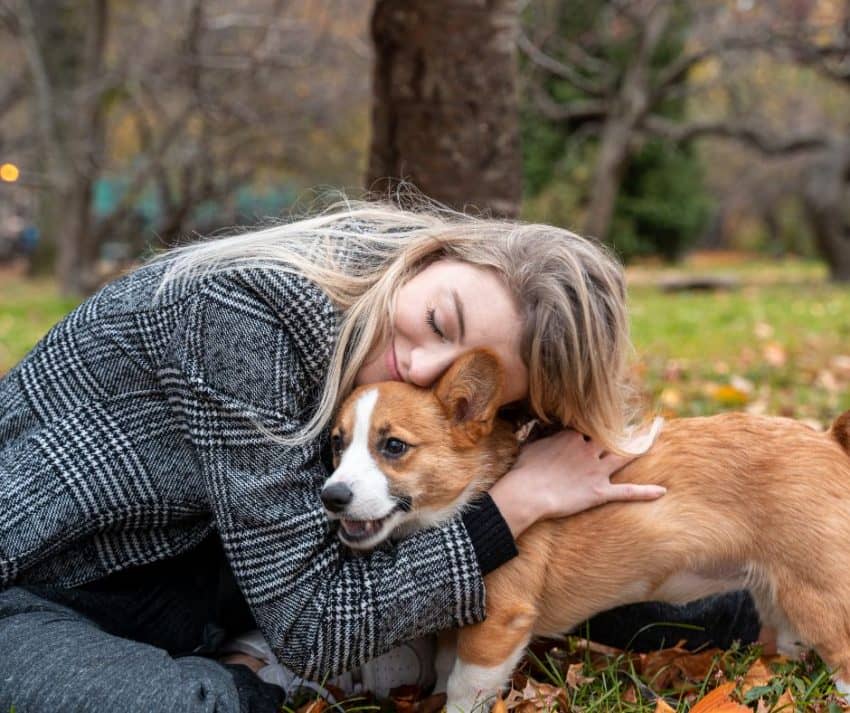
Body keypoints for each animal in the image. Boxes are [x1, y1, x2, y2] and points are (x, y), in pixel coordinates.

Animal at [322, 350, 848, 712]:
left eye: (393, 446)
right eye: (337, 444)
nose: (331, 496)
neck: (474, 491)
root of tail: (829, 440)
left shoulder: (497, 627)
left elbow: (462, 689)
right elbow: (441, 673)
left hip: (821, 597)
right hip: (780, 599)